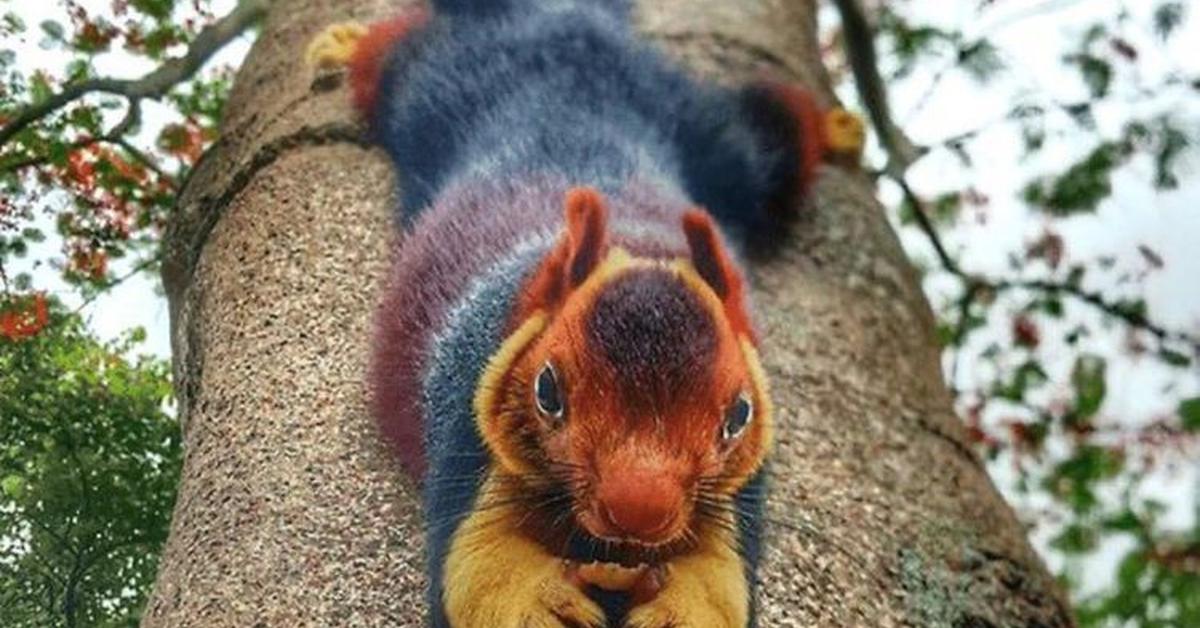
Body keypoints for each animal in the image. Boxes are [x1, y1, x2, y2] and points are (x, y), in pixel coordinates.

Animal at [307, 2, 864, 624]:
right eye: (547, 391)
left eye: (739, 414)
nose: (639, 510)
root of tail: (562, 21)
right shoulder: (470, 424)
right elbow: (477, 567)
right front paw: (541, 600)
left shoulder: (735, 494)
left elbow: (719, 581)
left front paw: (676, 605)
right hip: (435, 80)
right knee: (393, 54)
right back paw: (344, 44)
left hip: (709, 135)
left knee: (769, 135)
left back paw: (838, 127)